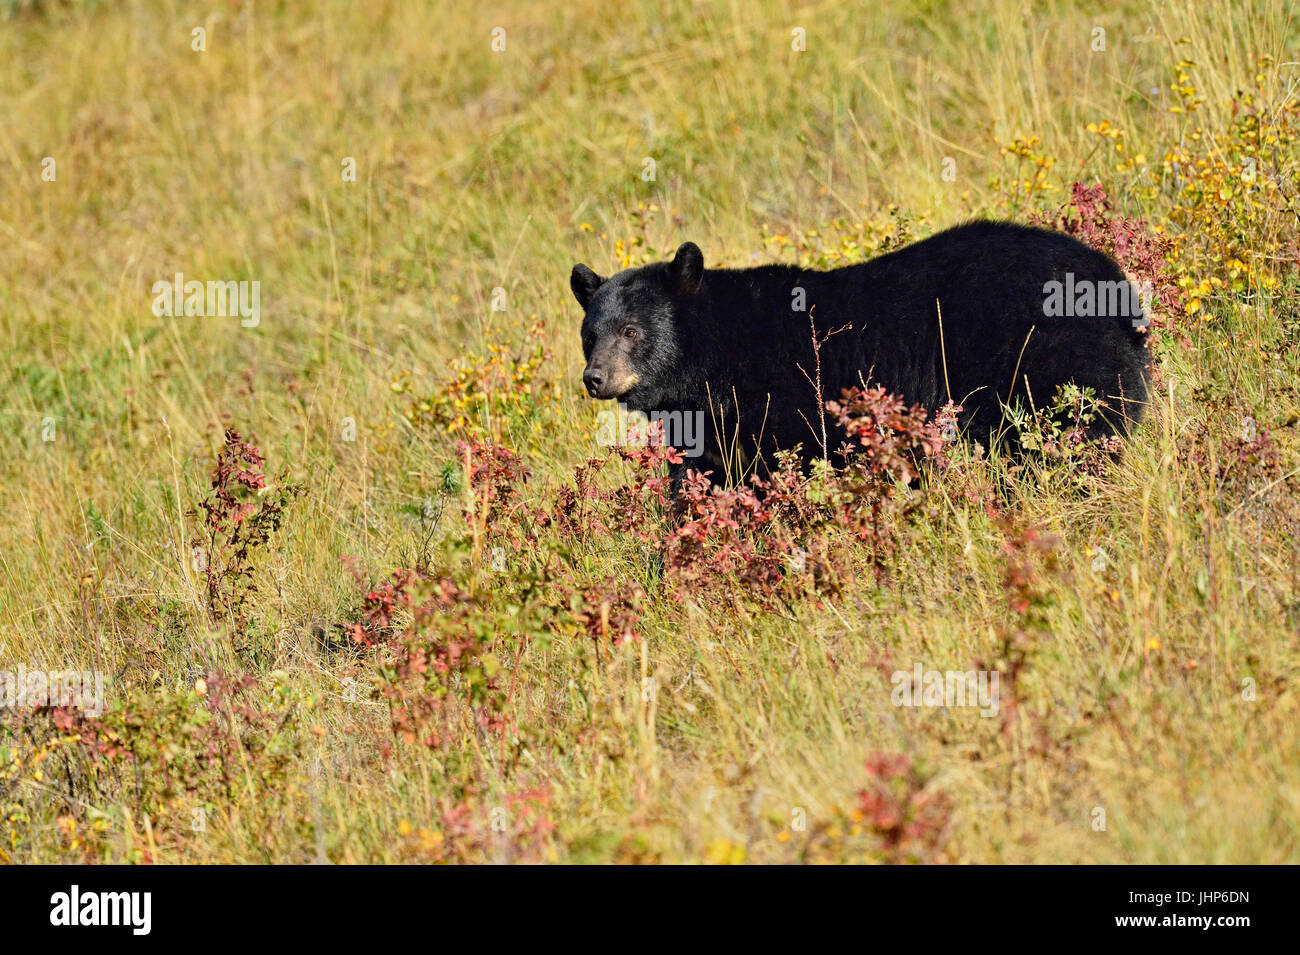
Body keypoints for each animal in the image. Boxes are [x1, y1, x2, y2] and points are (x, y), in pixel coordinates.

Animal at [569, 218, 1149, 485]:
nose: (594, 377)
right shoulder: (710, 424)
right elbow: (704, 476)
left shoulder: (785, 396)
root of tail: (1112, 279)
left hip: (1044, 351)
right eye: (589, 333)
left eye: (631, 331)